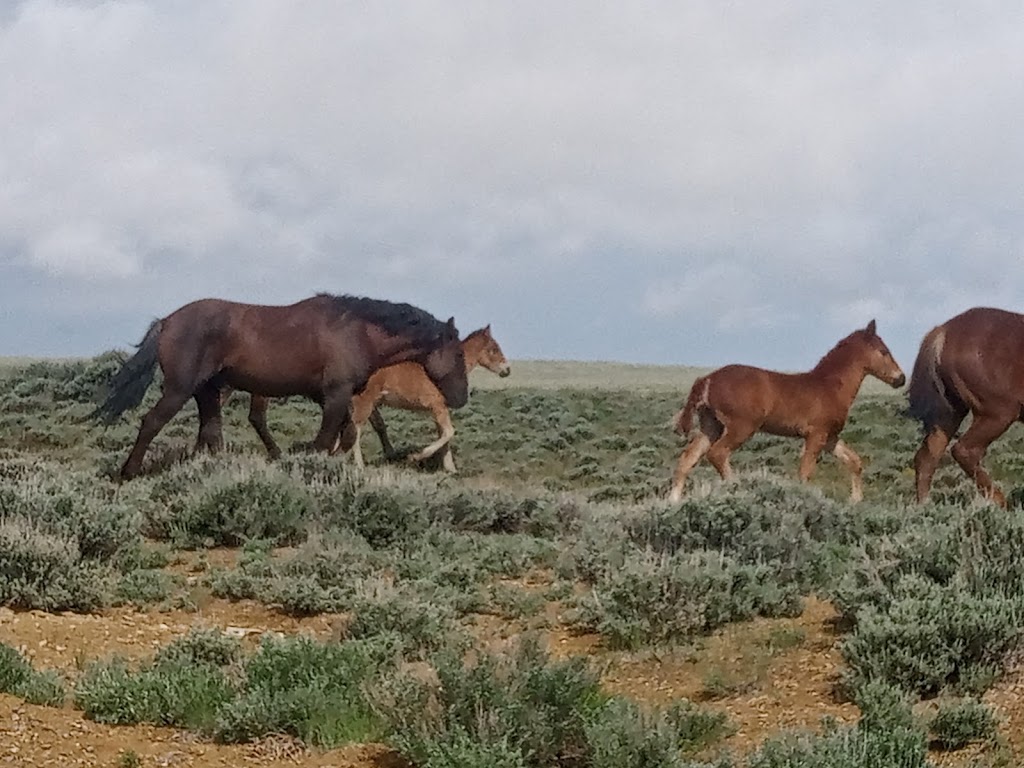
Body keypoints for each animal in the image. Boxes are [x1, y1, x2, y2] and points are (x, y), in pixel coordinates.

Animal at [92, 294, 469, 480]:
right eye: (458, 354)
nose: (461, 397)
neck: (356, 332)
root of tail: (167, 321)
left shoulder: (333, 397)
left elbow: (345, 437)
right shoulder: (335, 394)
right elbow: (325, 442)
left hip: (207, 392)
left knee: (211, 433)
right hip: (180, 389)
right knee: (152, 423)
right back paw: (128, 473)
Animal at [231, 325, 510, 472]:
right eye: (494, 348)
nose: (507, 370)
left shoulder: (436, 410)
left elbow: (445, 435)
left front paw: (450, 468)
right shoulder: (437, 405)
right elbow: (449, 432)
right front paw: (416, 457)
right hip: (364, 402)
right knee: (355, 430)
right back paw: (357, 465)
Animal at [668, 320, 905, 503]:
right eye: (884, 351)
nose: (901, 379)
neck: (829, 386)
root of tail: (708, 379)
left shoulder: (830, 438)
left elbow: (854, 462)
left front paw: (855, 500)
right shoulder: (816, 435)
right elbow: (805, 471)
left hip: (711, 426)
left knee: (687, 459)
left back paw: (673, 501)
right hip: (741, 427)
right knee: (718, 453)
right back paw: (737, 487)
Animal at [908, 307, 1024, 508]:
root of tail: (944, 330)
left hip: (950, 413)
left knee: (927, 456)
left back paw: (923, 505)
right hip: (997, 414)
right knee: (965, 451)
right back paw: (1000, 502)